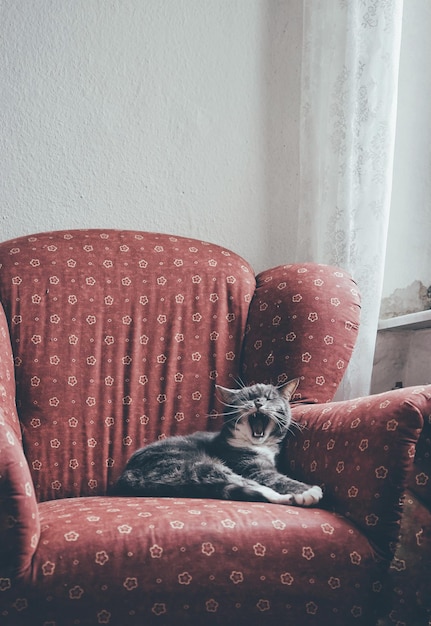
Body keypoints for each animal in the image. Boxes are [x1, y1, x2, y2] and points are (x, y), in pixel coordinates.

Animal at [115, 378, 324, 504]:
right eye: (247, 398)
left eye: (269, 398)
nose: (258, 402)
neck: (259, 446)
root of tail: (128, 475)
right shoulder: (252, 467)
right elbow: (275, 477)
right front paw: (307, 491)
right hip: (193, 463)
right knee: (245, 484)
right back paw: (287, 497)